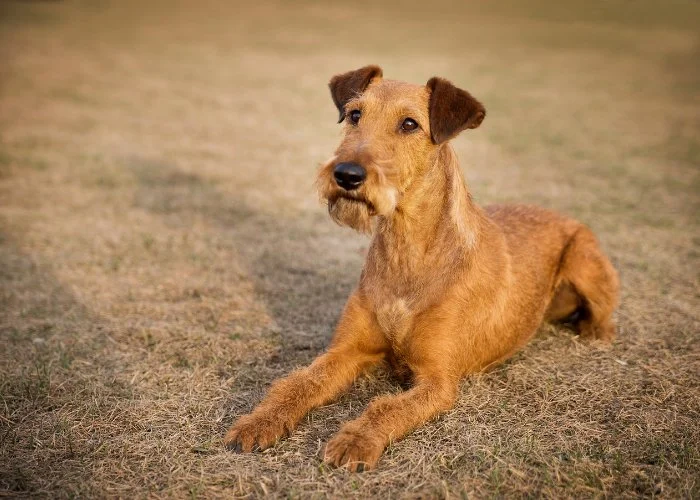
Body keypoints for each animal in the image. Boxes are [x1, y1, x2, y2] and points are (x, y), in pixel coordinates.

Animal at [223, 64, 616, 470]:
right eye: (355, 115)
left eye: (410, 124)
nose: (346, 174)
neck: (407, 252)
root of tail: (562, 214)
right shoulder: (345, 351)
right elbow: (299, 382)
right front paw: (259, 421)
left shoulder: (437, 381)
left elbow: (386, 409)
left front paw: (355, 440)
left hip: (585, 262)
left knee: (604, 319)